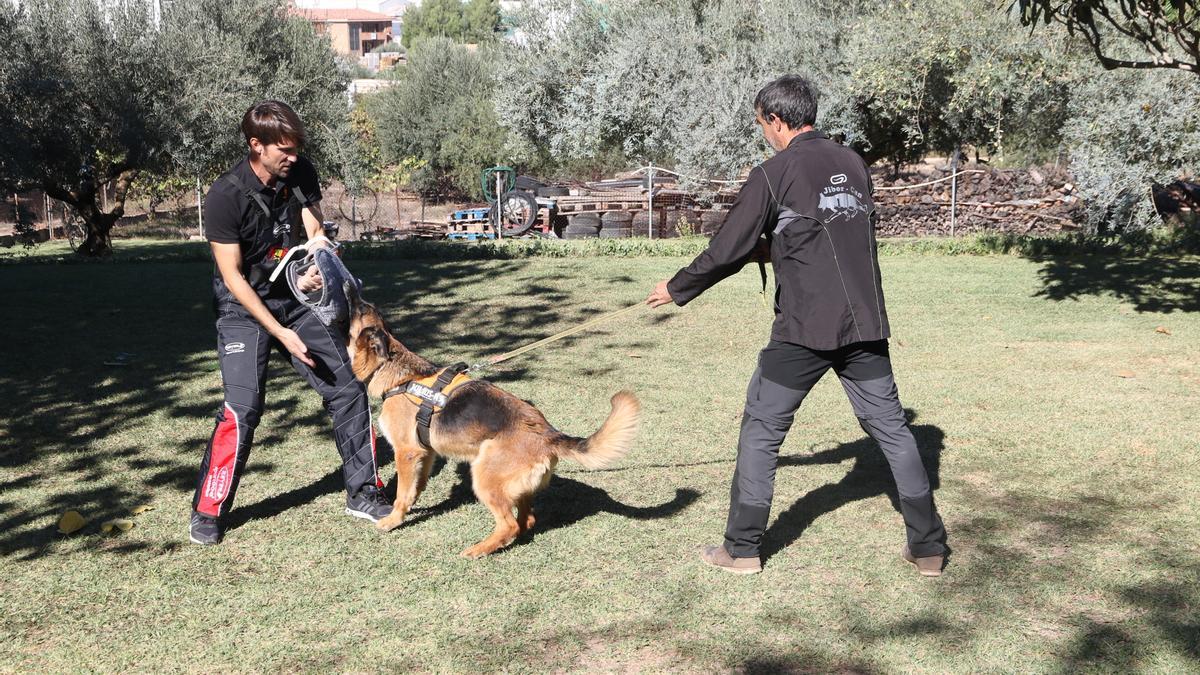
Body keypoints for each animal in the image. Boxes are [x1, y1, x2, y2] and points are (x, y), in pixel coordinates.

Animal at [343, 281, 643, 554]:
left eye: (359, 308)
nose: (348, 284)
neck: (399, 374)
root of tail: (548, 433)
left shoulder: (406, 452)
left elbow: (402, 493)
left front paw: (393, 520)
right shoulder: (425, 451)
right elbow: (416, 486)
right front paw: (410, 507)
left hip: (484, 476)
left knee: (509, 524)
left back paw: (480, 549)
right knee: (526, 520)